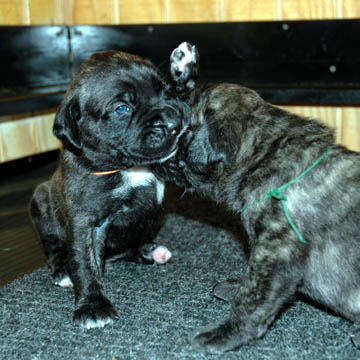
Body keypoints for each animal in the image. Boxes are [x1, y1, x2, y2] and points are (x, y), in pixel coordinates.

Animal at [30, 50, 188, 330]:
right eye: (122, 108)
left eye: (166, 91)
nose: (174, 123)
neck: (127, 167)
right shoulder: (87, 223)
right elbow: (85, 264)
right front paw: (93, 306)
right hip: (41, 203)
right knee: (54, 248)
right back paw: (62, 271)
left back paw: (149, 250)